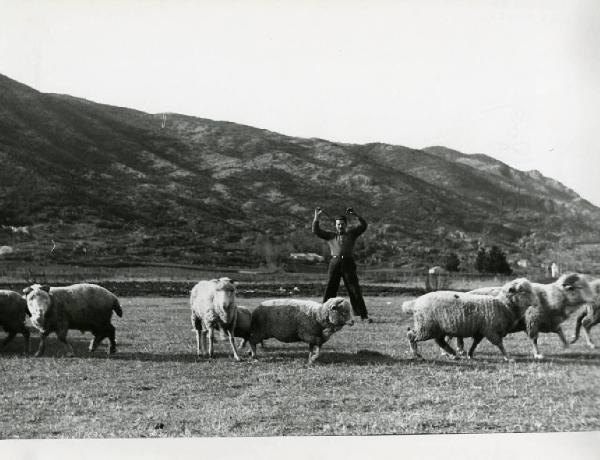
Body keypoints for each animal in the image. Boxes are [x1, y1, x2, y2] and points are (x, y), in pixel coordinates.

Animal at [408, 276, 536, 362]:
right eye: (523, 291)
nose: (536, 302)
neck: (503, 305)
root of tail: (415, 302)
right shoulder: (491, 330)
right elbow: (500, 344)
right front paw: (508, 357)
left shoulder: (481, 331)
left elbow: (475, 343)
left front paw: (470, 354)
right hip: (426, 327)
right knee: (411, 335)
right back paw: (417, 354)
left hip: (434, 328)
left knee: (439, 341)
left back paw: (452, 354)